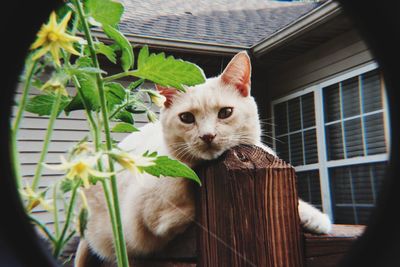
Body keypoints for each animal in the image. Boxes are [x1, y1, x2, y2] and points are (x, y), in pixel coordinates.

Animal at [75, 50, 332, 266]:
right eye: (187, 118)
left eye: (226, 112)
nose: (208, 136)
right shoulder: (150, 215)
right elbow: (182, 204)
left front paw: (314, 217)